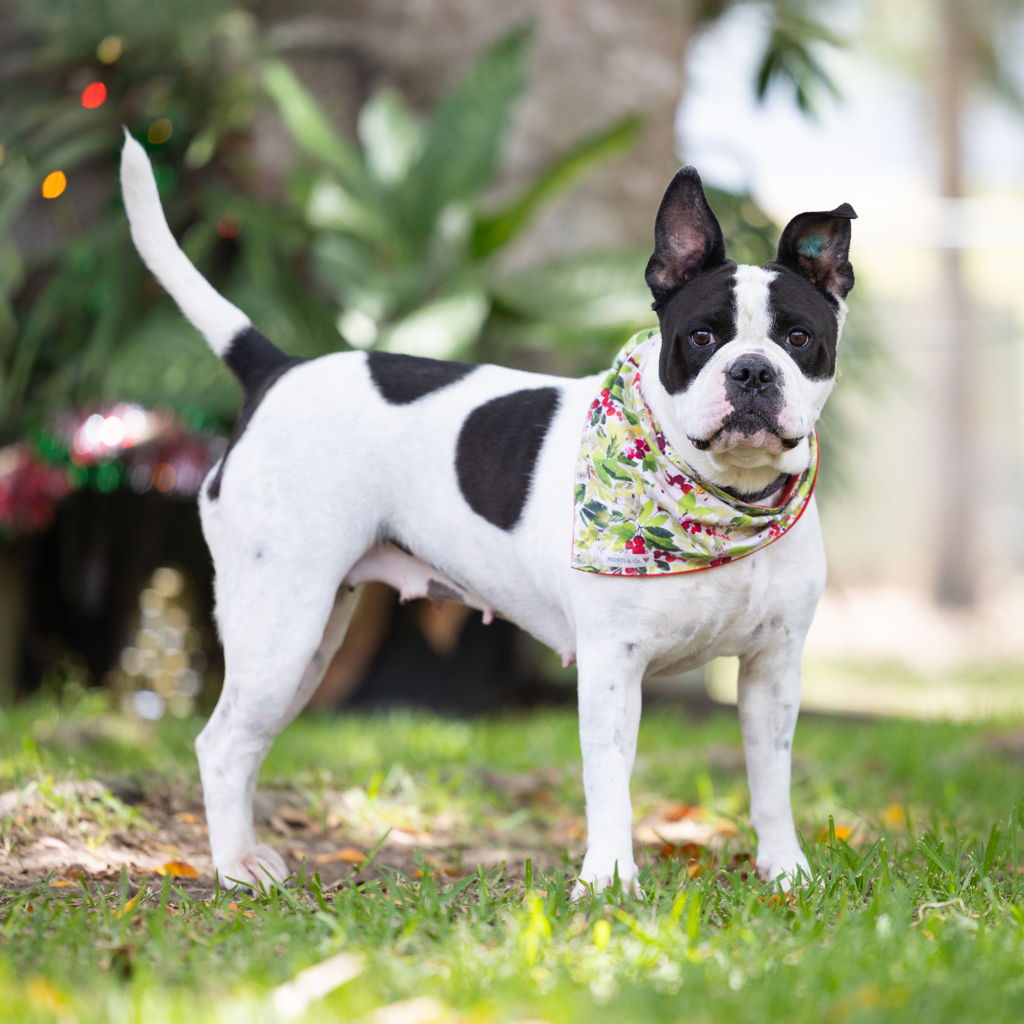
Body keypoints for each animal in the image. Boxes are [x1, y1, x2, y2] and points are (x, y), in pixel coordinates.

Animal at [120, 132, 855, 893]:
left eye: (799, 339)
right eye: (702, 338)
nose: (752, 371)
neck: (720, 501)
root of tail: (279, 367)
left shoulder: (773, 670)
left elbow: (771, 780)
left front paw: (785, 870)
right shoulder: (611, 667)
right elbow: (609, 782)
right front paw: (608, 882)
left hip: (305, 645)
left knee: (247, 738)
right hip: (279, 629)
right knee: (222, 744)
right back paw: (236, 868)